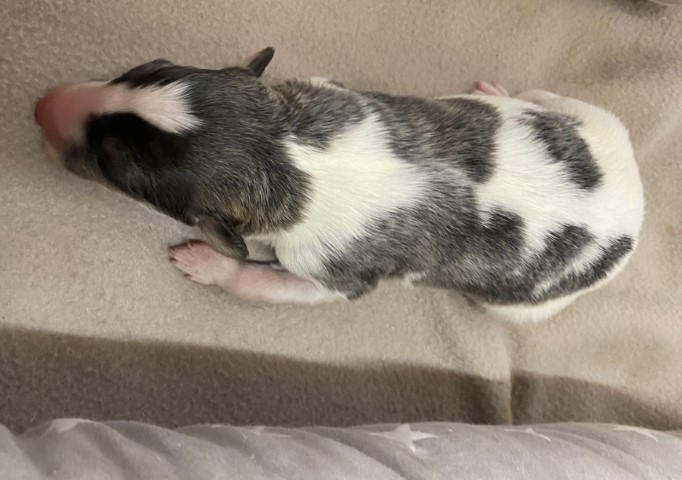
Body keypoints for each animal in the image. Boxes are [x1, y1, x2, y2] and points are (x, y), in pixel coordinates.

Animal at [34, 47, 644, 322]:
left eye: (111, 165)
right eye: (140, 71)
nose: (40, 106)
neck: (287, 152)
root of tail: (636, 210)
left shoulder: (334, 269)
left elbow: (275, 284)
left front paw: (210, 264)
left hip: (522, 304)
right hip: (584, 113)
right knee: (545, 98)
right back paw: (500, 94)